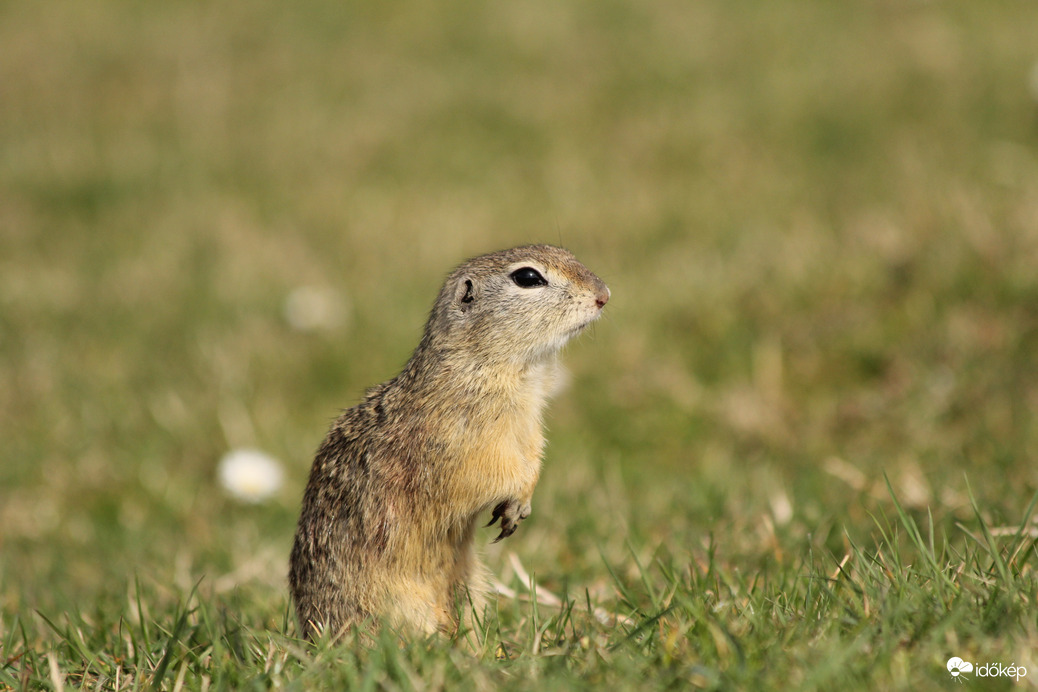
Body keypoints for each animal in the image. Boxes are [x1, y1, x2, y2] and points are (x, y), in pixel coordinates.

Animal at [288, 245, 606, 643]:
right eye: (528, 277)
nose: (603, 295)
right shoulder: (458, 444)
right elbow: (484, 476)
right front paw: (515, 498)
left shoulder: (530, 429)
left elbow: (533, 457)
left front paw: (524, 500)